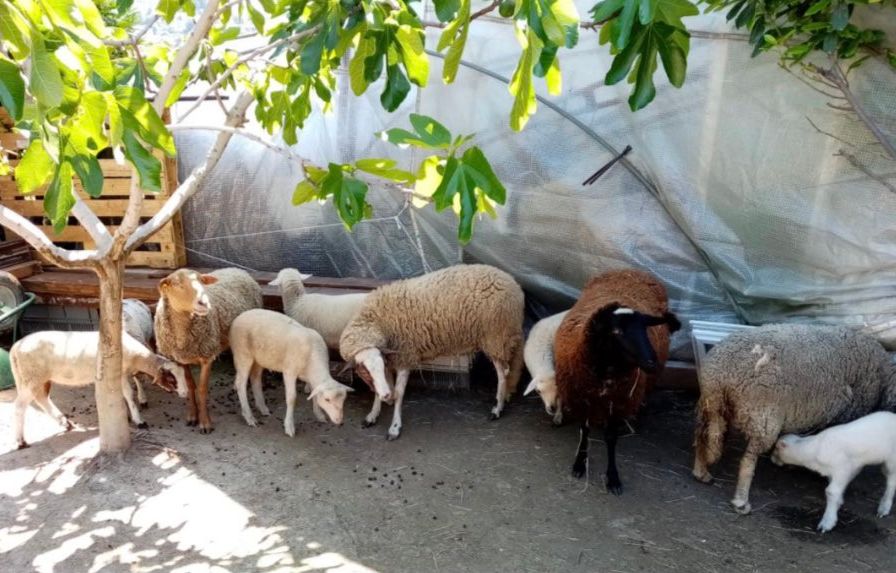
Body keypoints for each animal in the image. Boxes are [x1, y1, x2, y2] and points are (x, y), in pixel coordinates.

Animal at [11, 330, 189, 449]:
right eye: (172, 379)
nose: (185, 394)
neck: (136, 356)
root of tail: (16, 347)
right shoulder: (120, 373)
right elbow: (129, 395)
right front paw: (139, 421)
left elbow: (123, 395)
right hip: (32, 377)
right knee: (20, 406)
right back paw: (21, 441)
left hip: (37, 378)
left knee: (42, 399)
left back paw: (65, 423)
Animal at [155, 268, 263, 434]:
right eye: (177, 284)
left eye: (202, 281)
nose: (204, 302)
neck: (182, 339)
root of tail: (238, 269)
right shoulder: (181, 359)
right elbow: (191, 386)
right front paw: (192, 416)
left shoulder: (207, 356)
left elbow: (202, 389)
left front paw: (205, 423)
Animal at [339, 264, 525, 440]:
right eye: (364, 371)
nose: (386, 396)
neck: (378, 323)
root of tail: (513, 283)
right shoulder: (391, 359)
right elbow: (379, 389)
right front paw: (372, 414)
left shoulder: (405, 356)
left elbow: (399, 394)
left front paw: (394, 427)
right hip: (501, 337)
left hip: (496, 337)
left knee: (503, 374)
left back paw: (497, 408)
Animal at [554, 269, 680, 495]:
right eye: (617, 332)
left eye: (644, 330)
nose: (652, 362)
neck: (606, 371)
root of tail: (629, 270)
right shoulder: (582, 398)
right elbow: (584, 430)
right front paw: (580, 463)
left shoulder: (618, 403)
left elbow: (611, 438)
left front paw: (613, 478)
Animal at [692, 324, 896, 515]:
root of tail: (721, 373)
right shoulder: (845, 416)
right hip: (763, 416)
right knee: (747, 461)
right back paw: (741, 501)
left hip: (712, 407)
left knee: (701, 438)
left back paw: (701, 473)